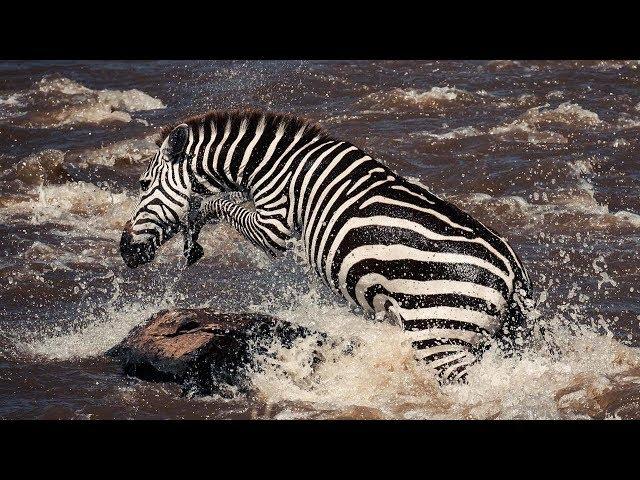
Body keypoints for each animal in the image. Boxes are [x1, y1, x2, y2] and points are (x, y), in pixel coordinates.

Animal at [121, 109, 536, 382]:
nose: (125, 250)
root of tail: (513, 275)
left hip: (438, 337)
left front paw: (195, 221)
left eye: (143, 184)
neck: (271, 163)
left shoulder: (273, 223)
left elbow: (220, 203)